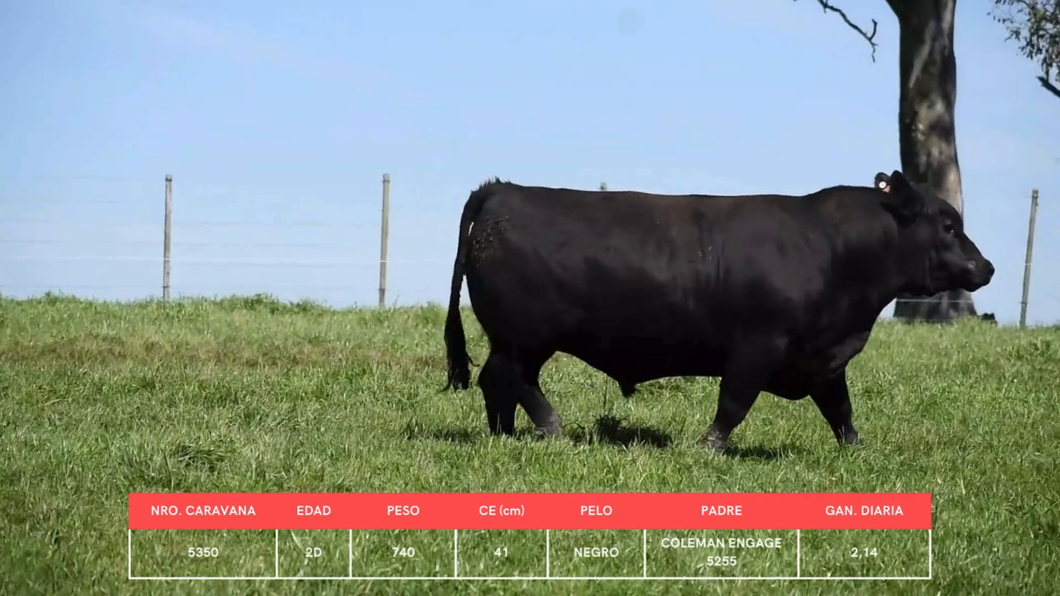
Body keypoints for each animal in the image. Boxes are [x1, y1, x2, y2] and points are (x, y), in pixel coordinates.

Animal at [438, 170, 992, 449]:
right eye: (948, 225)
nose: (984, 266)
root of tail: (503, 189)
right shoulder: (757, 346)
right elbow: (734, 403)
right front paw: (709, 445)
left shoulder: (823, 358)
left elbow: (840, 408)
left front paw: (856, 450)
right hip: (525, 337)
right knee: (512, 378)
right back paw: (550, 429)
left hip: (517, 339)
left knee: (496, 380)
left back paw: (506, 434)